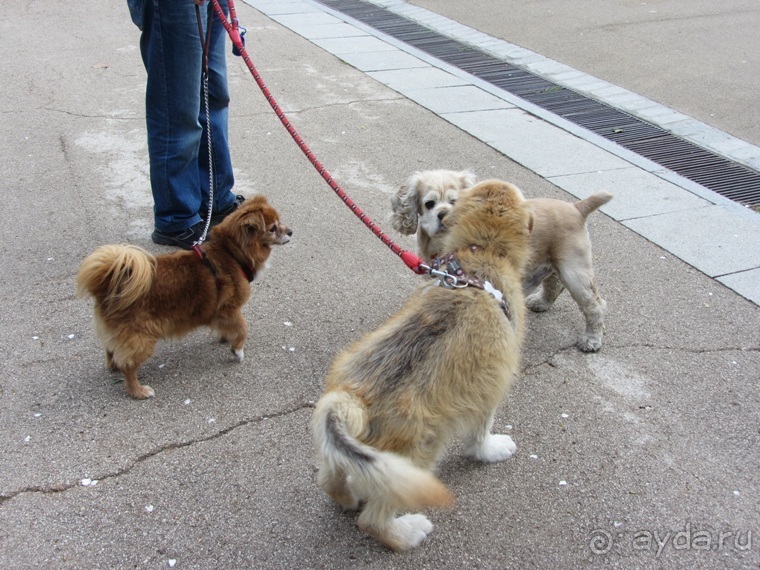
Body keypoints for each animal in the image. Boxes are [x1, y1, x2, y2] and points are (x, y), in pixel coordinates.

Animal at [77, 193, 290, 398]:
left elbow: (227, 327)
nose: (290, 232)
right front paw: (237, 349)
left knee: (111, 351)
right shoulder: (229, 308)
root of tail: (107, 284)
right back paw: (138, 391)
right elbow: (243, 328)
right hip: (141, 338)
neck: (232, 254)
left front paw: (225, 337)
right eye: (272, 228)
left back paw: (113, 367)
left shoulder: (220, 313)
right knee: (128, 366)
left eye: (280, 221)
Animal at [312, 180, 532, 548]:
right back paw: (407, 532)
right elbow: (480, 433)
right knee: (373, 520)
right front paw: (491, 450)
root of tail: (354, 400)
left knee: (331, 479)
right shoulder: (489, 386)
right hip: (422, 450)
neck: (483, 252)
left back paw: (348, 498)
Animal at [392, 168, 612, 350]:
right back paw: (541, 302)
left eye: (454, 201)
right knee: (554, 283)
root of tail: (577, 207)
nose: (443, 214)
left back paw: (591, 339)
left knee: (595, 304)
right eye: (429, 204)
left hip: (575, 271)